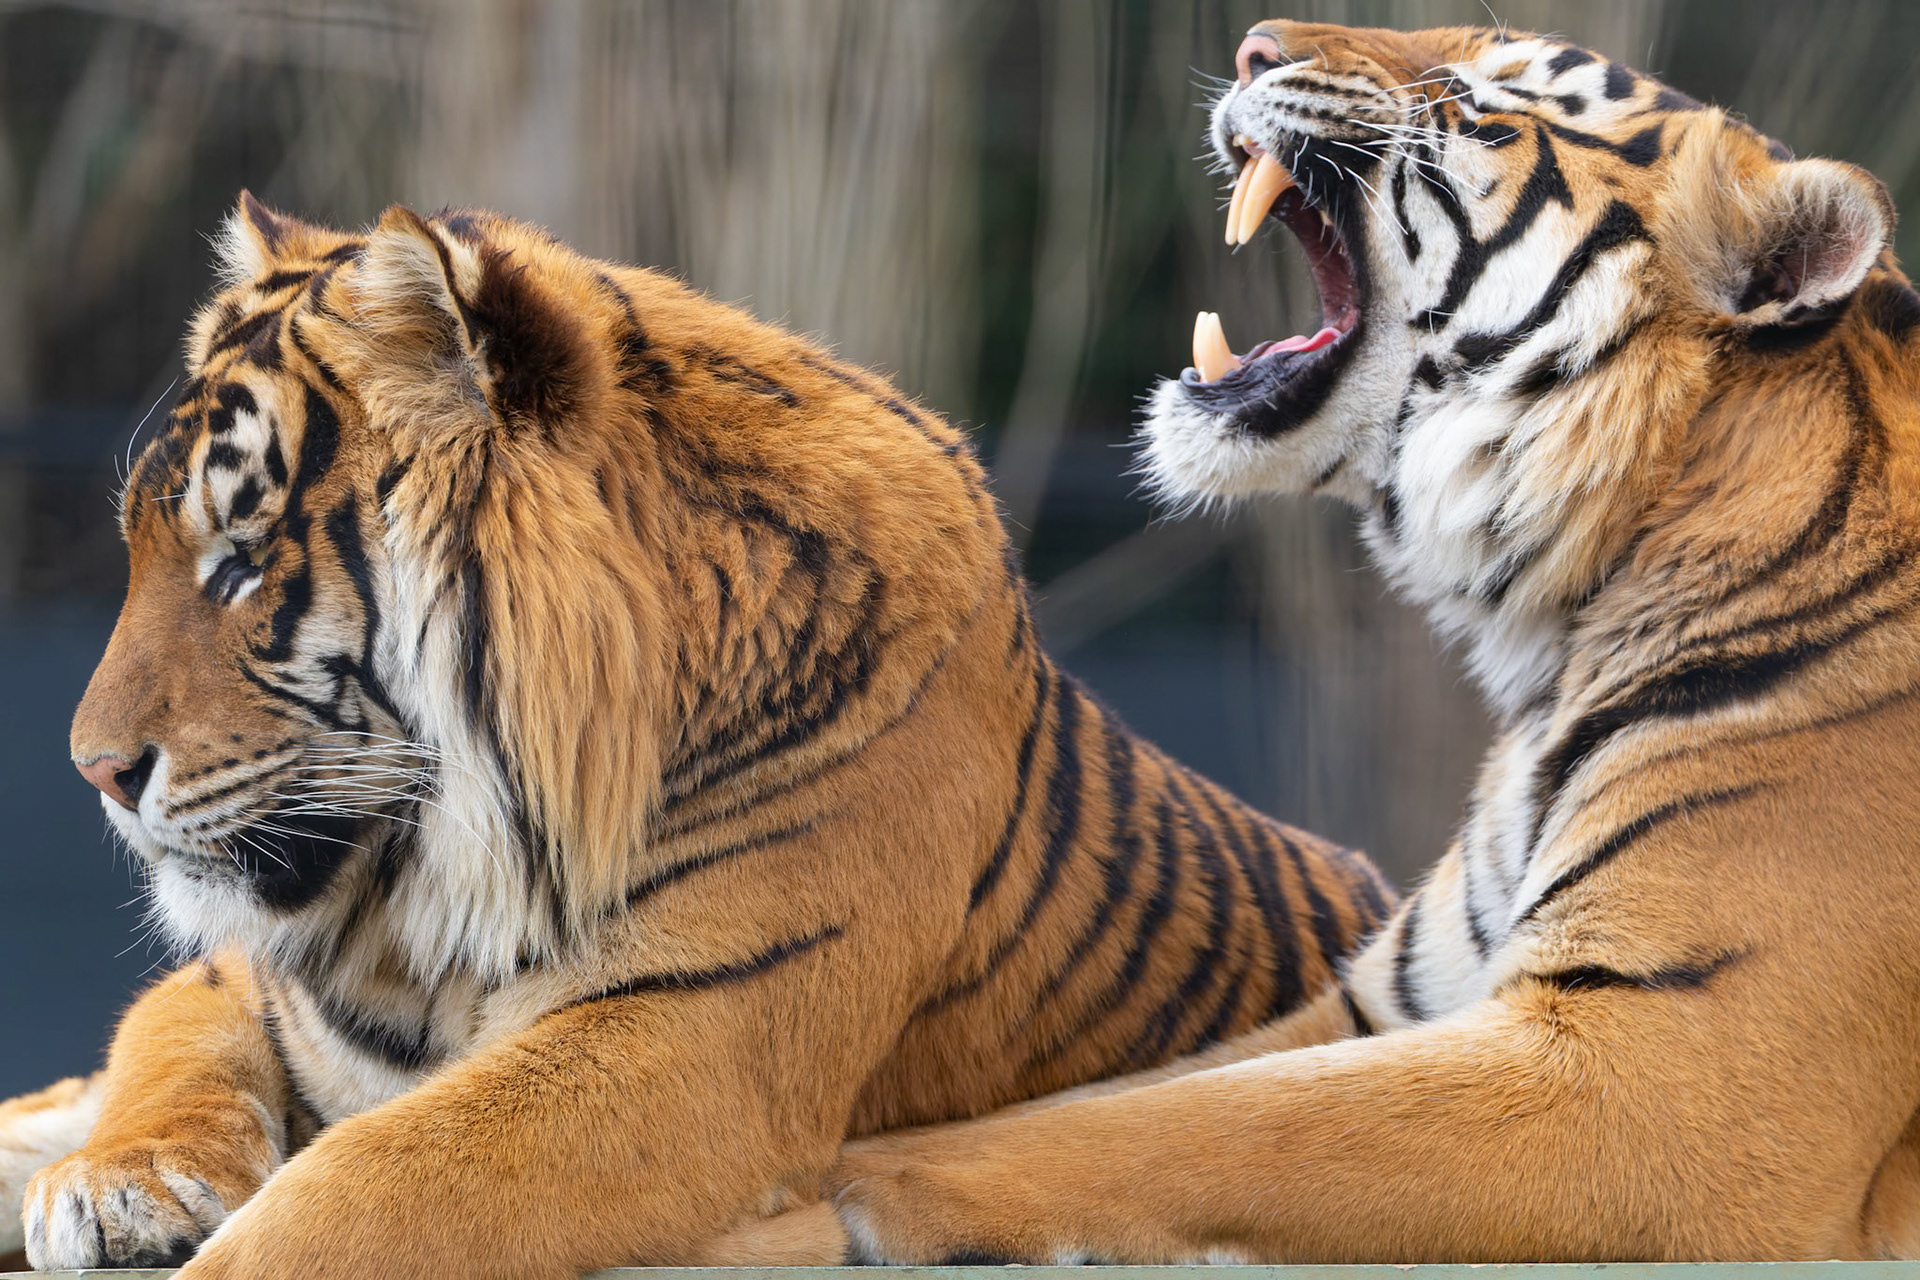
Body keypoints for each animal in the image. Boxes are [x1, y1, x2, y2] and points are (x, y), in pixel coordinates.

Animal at [0, 193, 1391, 1277]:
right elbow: (169, 1046)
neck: (433, 896)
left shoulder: (683, 1046)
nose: (93, 771)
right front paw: (121, 1185)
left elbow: (346, 1192)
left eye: (239, 565)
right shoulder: (257, 981)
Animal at [712, 17, 1920, 1265]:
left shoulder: (1671, 1066)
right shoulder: (1390, 997)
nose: (1250, 48)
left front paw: (814, 1199)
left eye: (1482, 101)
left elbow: (1201, 1124)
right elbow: (1130, 1095)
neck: (1564, 623)